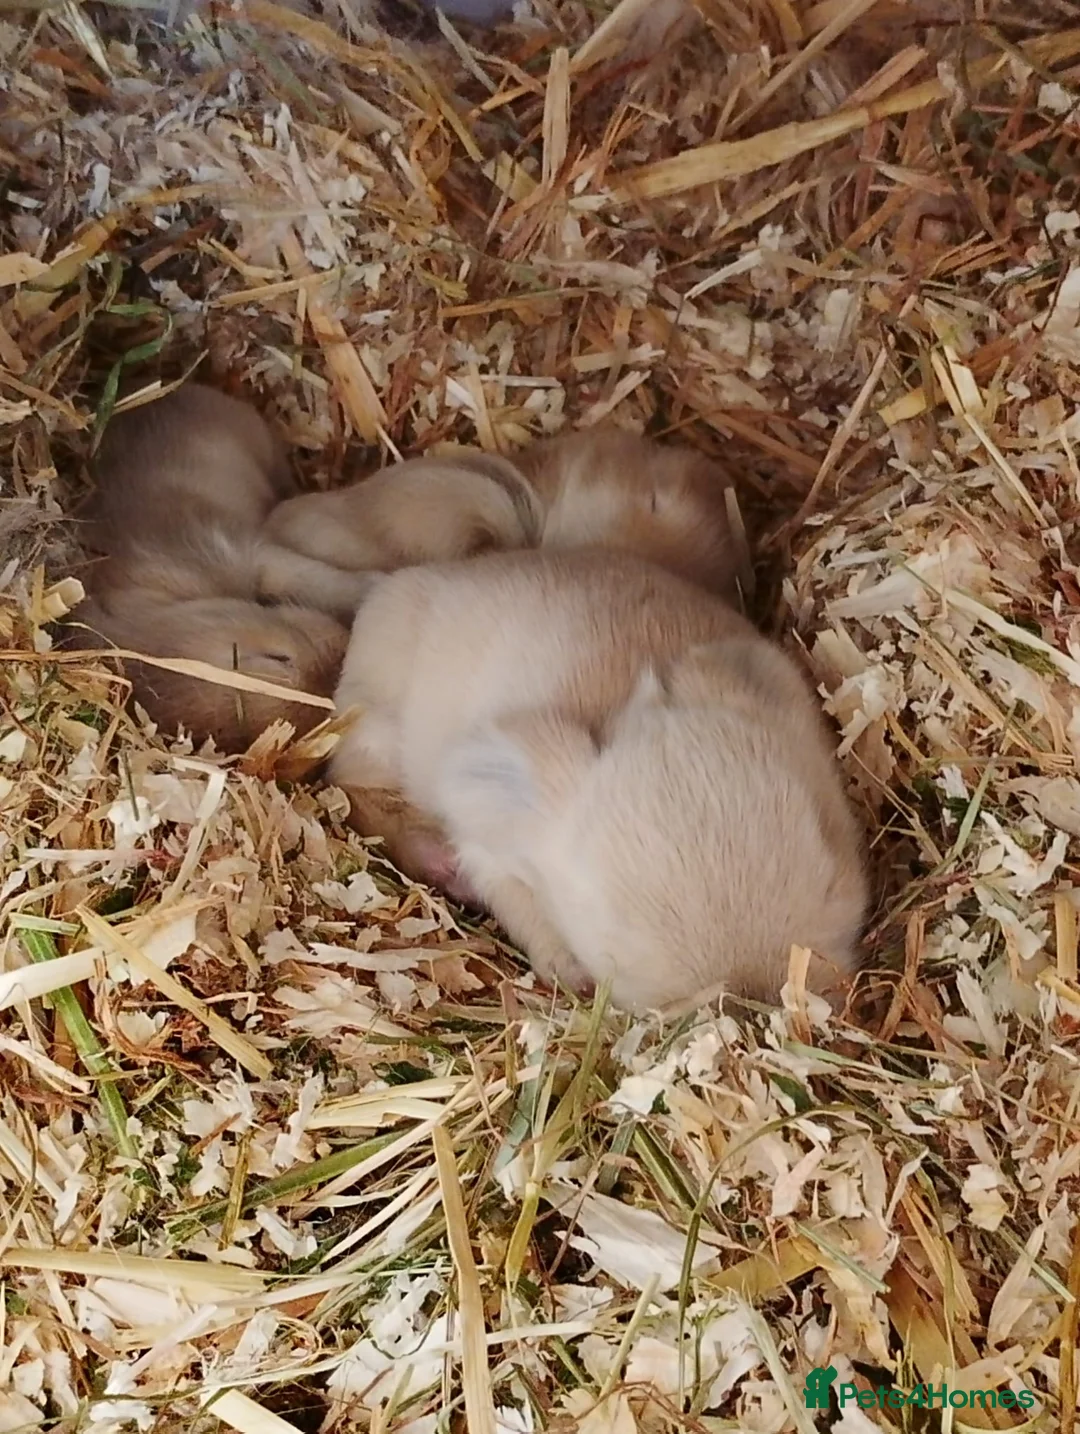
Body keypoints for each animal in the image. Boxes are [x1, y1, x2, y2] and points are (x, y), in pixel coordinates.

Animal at [328, 548, 867, 1011]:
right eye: (614, 928)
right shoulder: (490, 853)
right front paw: (573, 976)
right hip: (373, 730)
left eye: (831, 874)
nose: (754, 995)